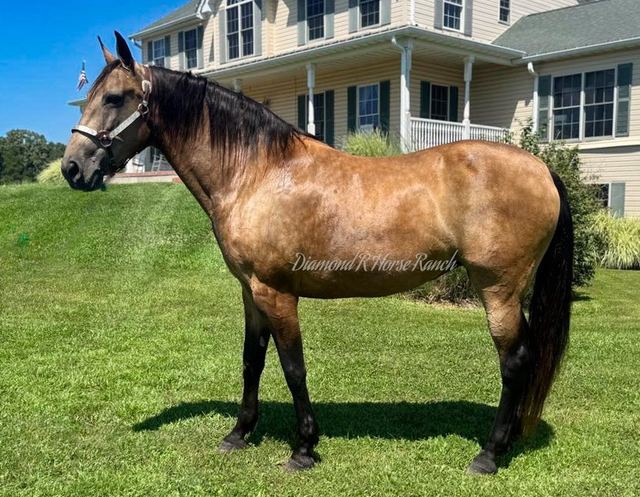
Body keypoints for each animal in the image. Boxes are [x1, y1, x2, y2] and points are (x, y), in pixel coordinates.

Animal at [62, 32, 573, 475]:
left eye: (115, 98)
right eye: (92, 97)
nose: (72, 168)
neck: (258, 173)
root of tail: (540, 168)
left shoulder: (277, 293)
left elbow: (293, 368)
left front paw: (304, 447)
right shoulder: (250, 293)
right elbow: (252, 361)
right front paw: (238, 434)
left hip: (498, 289)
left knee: (514, 362)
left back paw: (488, 454)